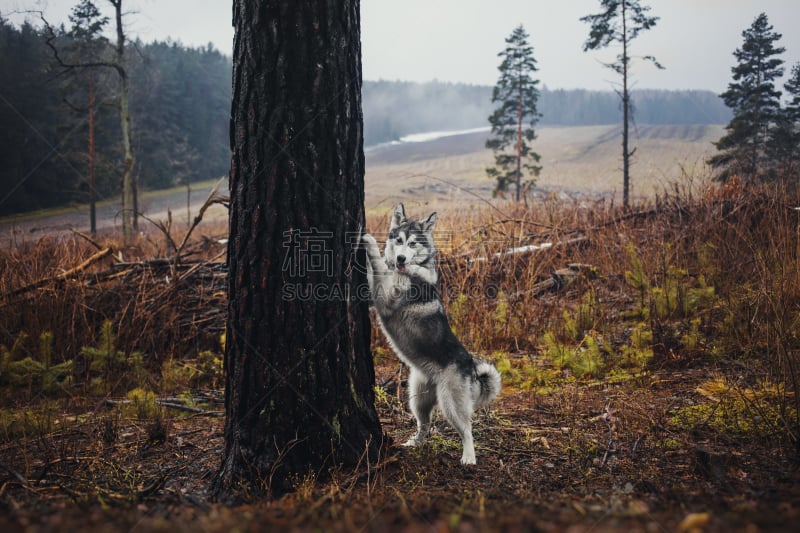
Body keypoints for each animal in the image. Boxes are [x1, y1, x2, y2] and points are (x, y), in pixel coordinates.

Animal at [360, 203, 500, 462]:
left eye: (413, 243)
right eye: (400, 240)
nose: (401, 258)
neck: (407, 270)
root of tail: (472, 369)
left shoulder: (385, 299)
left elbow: (378, 266)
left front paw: (369, 242)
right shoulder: (376, 300)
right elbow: (375, 272)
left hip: (451, 404)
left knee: (467, 429)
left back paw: (469, 457)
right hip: (417, 398)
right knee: (425, 425)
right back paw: (413, 443)